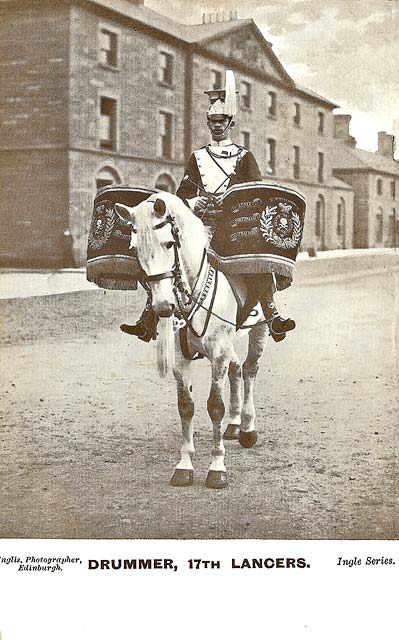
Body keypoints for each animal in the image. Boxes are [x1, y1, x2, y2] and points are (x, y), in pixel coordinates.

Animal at [117, 191, 270, 490]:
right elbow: (186, 407)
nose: (163, 307)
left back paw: (247, 427)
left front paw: (217, 468)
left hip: (259, 330)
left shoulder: (218, 354)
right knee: (237, 369)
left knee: (249, 370)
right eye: (134, 248)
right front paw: (184, 465)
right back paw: (234, 424)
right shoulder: (180, 358)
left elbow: (215, 407)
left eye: (169, 243)